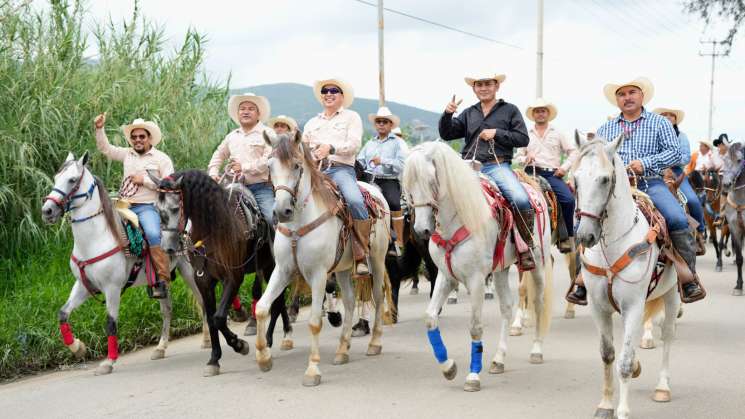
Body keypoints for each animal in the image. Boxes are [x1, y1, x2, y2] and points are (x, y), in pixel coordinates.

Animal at [42, 153, 208, 376]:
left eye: (72, 180)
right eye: (56, 177)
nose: (47, 210)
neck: (96, 238)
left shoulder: (112, 288)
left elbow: (111, 323)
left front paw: (108, 362)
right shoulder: (83, 286)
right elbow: (63, 313)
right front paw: (78, 347)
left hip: (189, 270)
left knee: (202, 301)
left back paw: (207, 340)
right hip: (162, 282)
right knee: (167, 309)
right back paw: (160, 348)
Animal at [253, 130, 390, 388]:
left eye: (297, 166)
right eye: (269, 166)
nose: (282, 211)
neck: (298, 224)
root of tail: (375, 191)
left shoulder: (318, 274)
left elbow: (315, 321)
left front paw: (312, 370)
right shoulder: (282, 270)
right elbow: (262, 308)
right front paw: (264, 358)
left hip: (377, 259)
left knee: (378, 296)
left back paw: (375, 343)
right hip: (344, 268)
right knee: (349, 301)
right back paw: (342, 350)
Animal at [402, 142, 552, 394]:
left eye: (432, 181)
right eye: (409, 185)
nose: (422, 230)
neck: (458, 220)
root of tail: (534, 188)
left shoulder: (476, 279)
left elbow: (475, 327)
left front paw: (473, 376)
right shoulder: (446, 277)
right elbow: (430, 317)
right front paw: (448, 367)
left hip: (538, 264)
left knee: (538, 303)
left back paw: (537, 351)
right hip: (501, 269)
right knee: (506, 307)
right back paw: (499, 359)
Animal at [576, 135, 680, 419]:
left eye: (604, 179)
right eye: (575, 179)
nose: (585, 235)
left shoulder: (633, 305)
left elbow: (622, 362)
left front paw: (622, 410)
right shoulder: (599, 308)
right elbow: (609, 354)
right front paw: (605, 405)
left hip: (672, 295)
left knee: (667, 336)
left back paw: (663, 387)